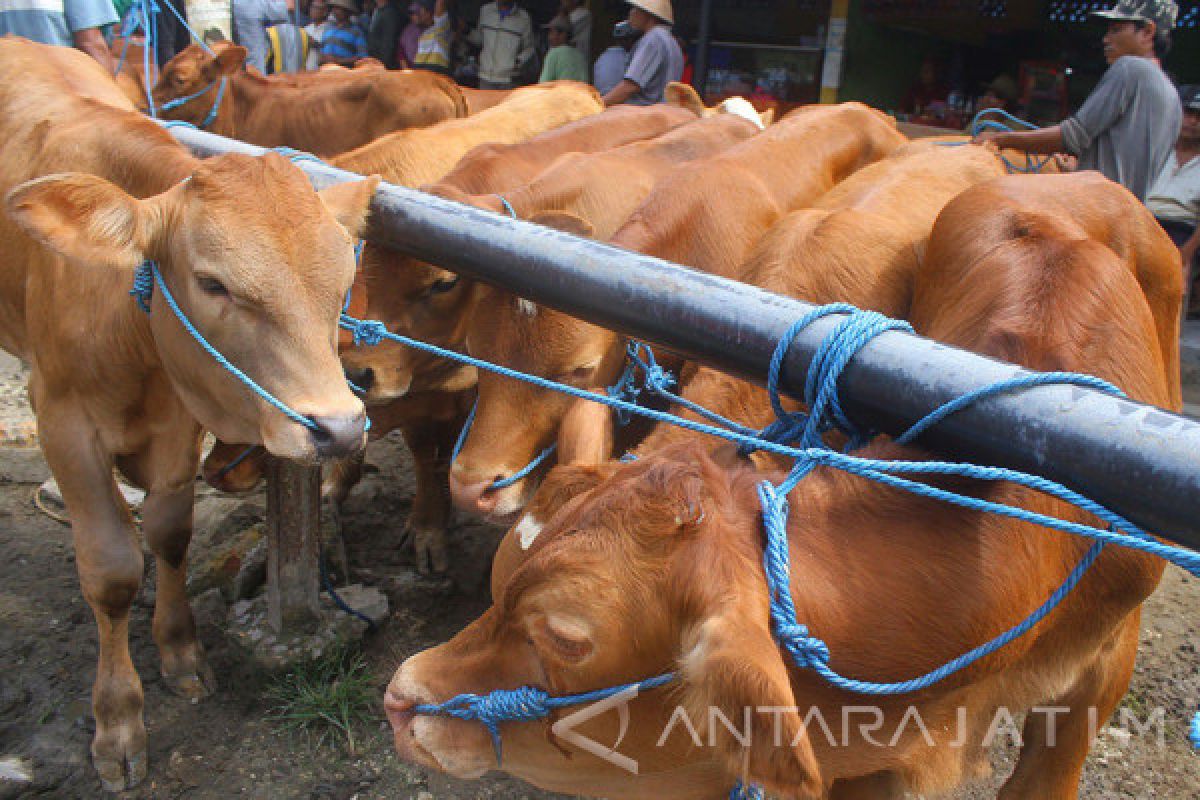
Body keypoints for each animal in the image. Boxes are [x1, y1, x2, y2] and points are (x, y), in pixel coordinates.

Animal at [0, 35, 379, 786]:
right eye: (211, 283)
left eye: (344, 278)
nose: (339, 427)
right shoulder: (62, 420)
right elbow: (112, 568)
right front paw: (118, 722)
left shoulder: (178, 423)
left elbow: (169, 534)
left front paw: (180, 653)